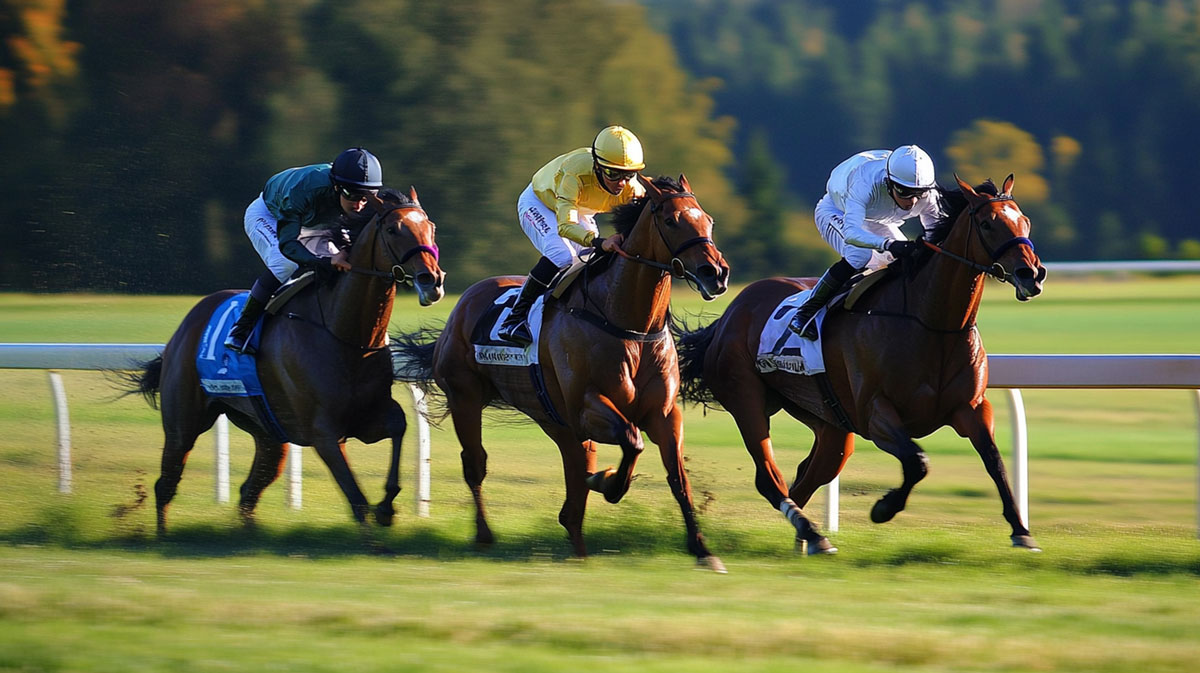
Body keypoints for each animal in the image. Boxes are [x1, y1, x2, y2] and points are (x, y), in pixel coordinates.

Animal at [125, 185, 446, 532]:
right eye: (393, 229)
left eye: (431, 227)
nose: (432, 280)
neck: (344, 333)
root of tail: (185, 327)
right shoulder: (324, 433)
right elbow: (356, 497)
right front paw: (374, 533)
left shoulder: (370, 415)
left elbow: (399, 427)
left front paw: (386, 507)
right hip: (183, 422)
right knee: (166, 483)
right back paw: (162, 535)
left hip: (268, 433)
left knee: (248, 490)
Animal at [388, 176, 734, 568]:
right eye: (673, 221)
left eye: (708, 220)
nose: (716, 273)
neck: (628, 324)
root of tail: (463, 304)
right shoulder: (587, 407)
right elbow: (632, 440)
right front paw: (608, 483)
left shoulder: (662, 413)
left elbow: (676, 477)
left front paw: (703, 549)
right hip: (466, 397)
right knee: (476, 464)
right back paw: (485, 534)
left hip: (553, 417)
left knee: (572, 485)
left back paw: (578, 547)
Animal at [681, 172, 1046, 551]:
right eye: (988, 224)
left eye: (1025, 221)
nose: (1032, 274)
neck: (930, 323)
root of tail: (729, 315)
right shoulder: (876, 414)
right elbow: (917, 462)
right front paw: (884, 508)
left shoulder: (970, 407)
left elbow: (993, 459)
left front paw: (1021, 530)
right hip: (747, 399)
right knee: (769, 477)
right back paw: (812, 534)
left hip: (830, 423)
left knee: (808, 475)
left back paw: (808, 537)